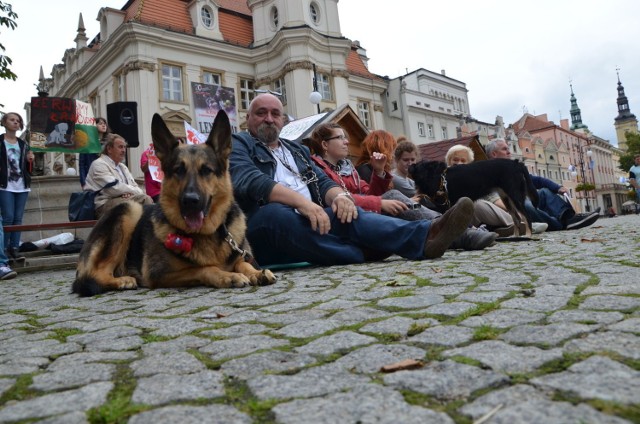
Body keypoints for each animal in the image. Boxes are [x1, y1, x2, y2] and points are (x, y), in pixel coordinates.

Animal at [73, 111, 278, 296]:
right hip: (129, 208)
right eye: (179, 170)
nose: (191, 201)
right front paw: (228, 275)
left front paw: (256, 272)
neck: (207, 232)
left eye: (206, 170)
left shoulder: (240, 253)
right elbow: (204, 268)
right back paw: (123, 281)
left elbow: (243, 262)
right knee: (93, 276)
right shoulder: (160, 274)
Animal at [408, 159, 536, 235]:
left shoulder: (448, 206)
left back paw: (528, 236)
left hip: (515, 196)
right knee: (517, 219)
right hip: (507, 199)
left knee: (526, 217)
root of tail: (516, 163)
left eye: (417, 165)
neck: (438, 178)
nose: (410, 165)